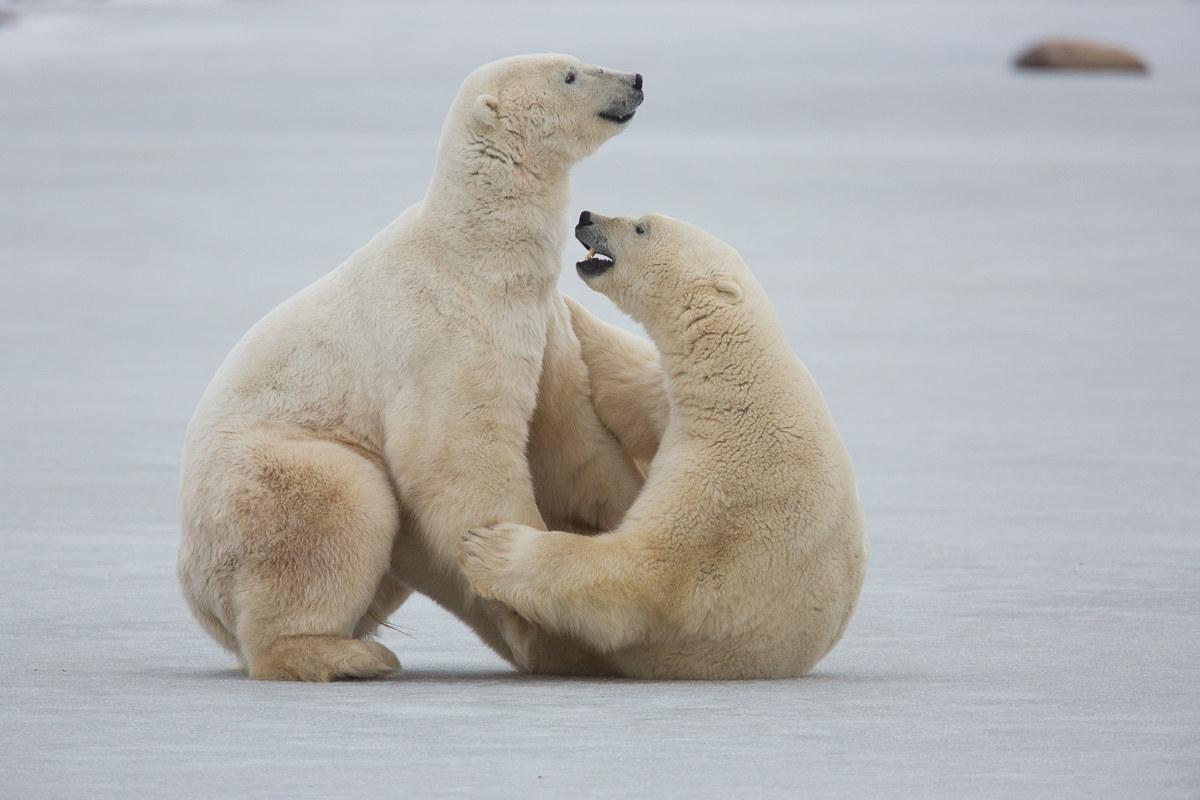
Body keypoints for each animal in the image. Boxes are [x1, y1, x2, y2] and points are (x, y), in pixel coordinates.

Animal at [177, 55, 658, 680]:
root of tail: (194, 592)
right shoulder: (447, 332)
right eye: (571, 76)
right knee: (340, 504)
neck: (475, 253)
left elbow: (571, 441)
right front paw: (516, 576)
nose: (635, 80)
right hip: (258, 479)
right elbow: (458, 452)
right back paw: (344, 653)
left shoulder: (543, 329)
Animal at [460, 211, 869, 679]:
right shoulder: (669, 403)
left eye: (641, 227)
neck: (741, 387)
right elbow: (624, 382)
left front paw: (489, 546)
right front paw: (560, 304)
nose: (586, 217)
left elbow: (646, 574)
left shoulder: (728, 487)